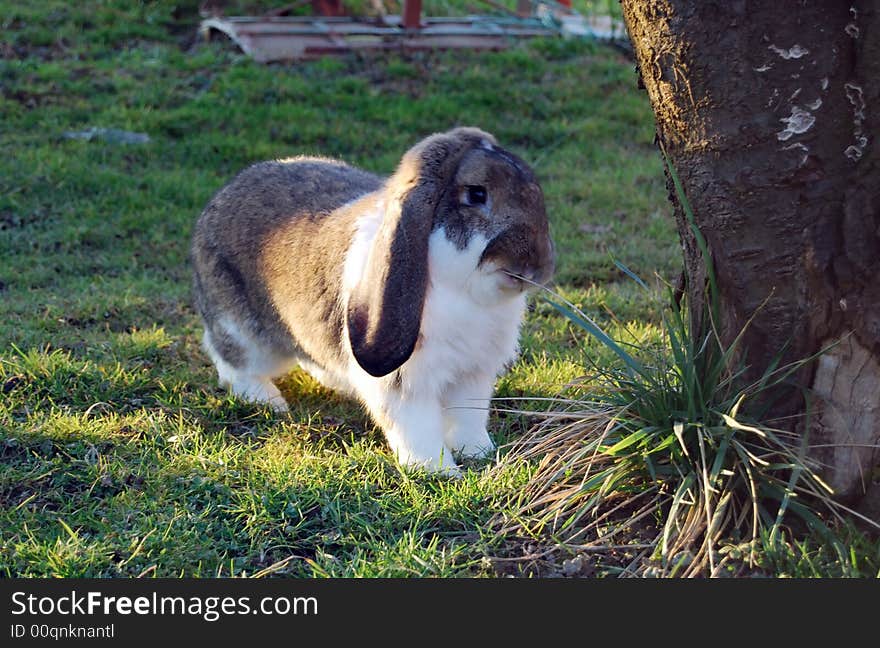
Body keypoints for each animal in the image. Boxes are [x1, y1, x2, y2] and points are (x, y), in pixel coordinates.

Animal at [190, 126, 552, 474]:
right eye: (477, 194)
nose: (537, 267)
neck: (465, 295)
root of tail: (218, 202)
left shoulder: (472, 376)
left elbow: (469, 420)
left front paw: (481, 453)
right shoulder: (405, 384)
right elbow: (418, 428)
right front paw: (439, 470)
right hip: (243, 331)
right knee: (232, 363)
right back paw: (269, 401)